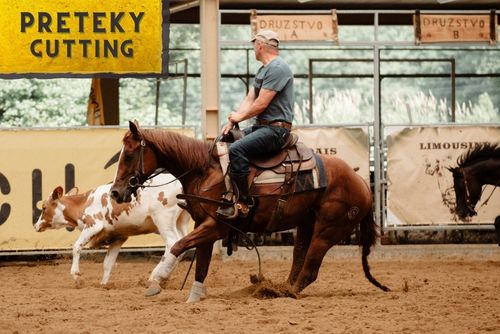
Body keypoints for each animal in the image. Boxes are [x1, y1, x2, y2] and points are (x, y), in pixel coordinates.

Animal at [33, 174, 189, 286]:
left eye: (44, 208)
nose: (36, 225)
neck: (84, 204)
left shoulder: (93, 225)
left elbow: (76, 247)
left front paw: (76, 275)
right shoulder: (118, 237)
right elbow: (108, 263)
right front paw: (103, 284)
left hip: (163, 220)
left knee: (172, 244)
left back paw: (155, 276)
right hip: (180, 222)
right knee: (182, 244)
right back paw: (162, 277)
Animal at [110, 120, 390, 302]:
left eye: (129, 155)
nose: (115, 192)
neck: (204, 170)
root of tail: (361, 182)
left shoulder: (216, 226)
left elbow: (178, 246)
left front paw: (156, 281)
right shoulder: (205, 226)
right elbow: (201, 264)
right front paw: (194, 297)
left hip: (328, 230)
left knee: (309, 269)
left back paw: (282, 292)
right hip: (306, 224)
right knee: (299, 260)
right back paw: (275, 288)